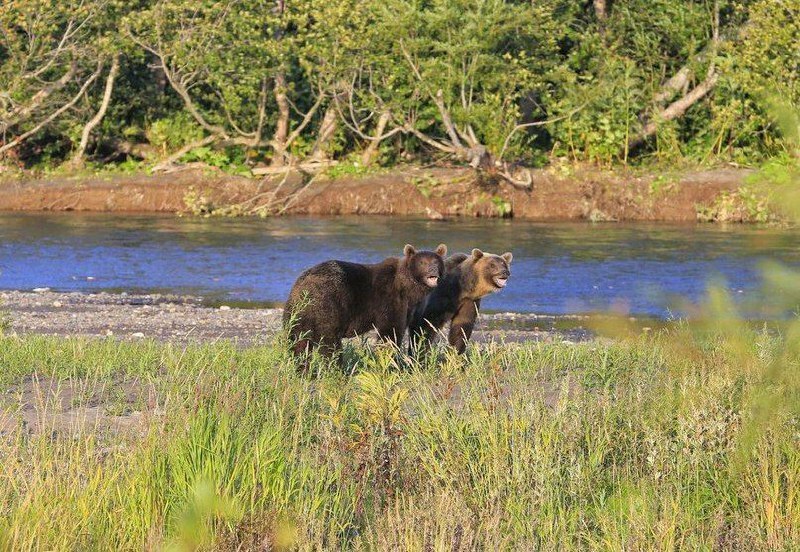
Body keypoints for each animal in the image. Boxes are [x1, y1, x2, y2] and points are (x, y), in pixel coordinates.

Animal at [282, 244, 446, 364]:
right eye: (423, 262)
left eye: (436, 262)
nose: (433, 270)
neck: (408, 288)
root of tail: (302, 287)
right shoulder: (390, 298)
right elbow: (390, 330)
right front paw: (388, 359)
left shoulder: (409, 307)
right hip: (328, 304)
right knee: (328, 340)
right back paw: (336, 366)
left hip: (298, 311)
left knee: (298, 340)